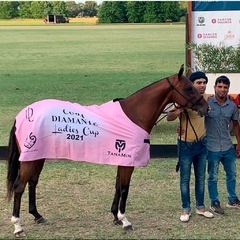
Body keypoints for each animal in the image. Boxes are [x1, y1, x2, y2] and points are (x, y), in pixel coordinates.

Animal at [6, 64, 210, 237]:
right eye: (189, 88)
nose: (206, 108)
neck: (133, 115)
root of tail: (23, 114)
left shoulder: (121, 158)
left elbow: (118, 186)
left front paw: (115, 217)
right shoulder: (128, 161)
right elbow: (125, 189)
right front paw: (125, 220)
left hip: (37, 156)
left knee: (32, 183)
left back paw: (37, 215)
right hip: (29, 159)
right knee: (19, 186)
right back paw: (18, 226)